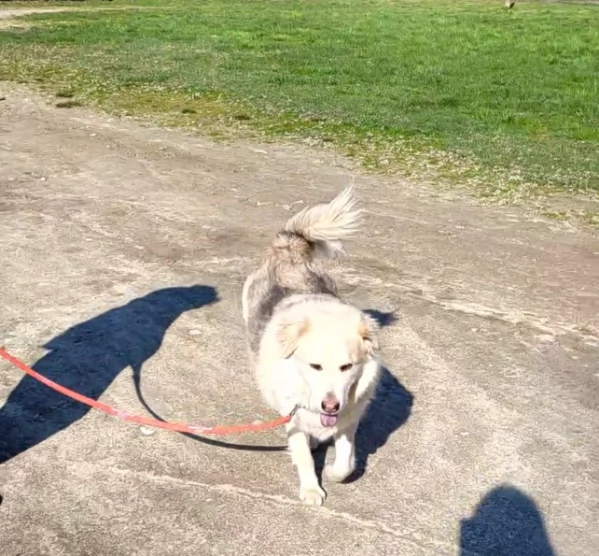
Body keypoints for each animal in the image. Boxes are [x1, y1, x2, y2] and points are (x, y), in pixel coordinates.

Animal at [241, 189, 382, 506]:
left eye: (347, 366)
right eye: (315, 366)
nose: (330, 405)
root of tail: (289, 248)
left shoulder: (348, 421)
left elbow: (346, 463)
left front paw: (332, 472)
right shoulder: (294, 419)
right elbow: (303, 456)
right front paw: (311, 488)